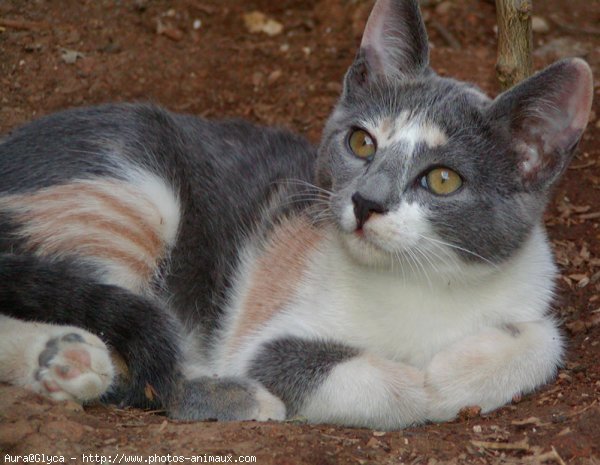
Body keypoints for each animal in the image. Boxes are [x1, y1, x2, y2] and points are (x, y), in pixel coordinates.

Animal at [0, 0, 592, 430]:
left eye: (442, 179)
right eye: (361, 142)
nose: (366, 201)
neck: (425, 281)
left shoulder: (531, 285)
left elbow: (546, 339)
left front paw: (456, 370)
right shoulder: (259, 337)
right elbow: (366, 382)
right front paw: (421, 384)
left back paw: (60, 357)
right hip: (139, 199)